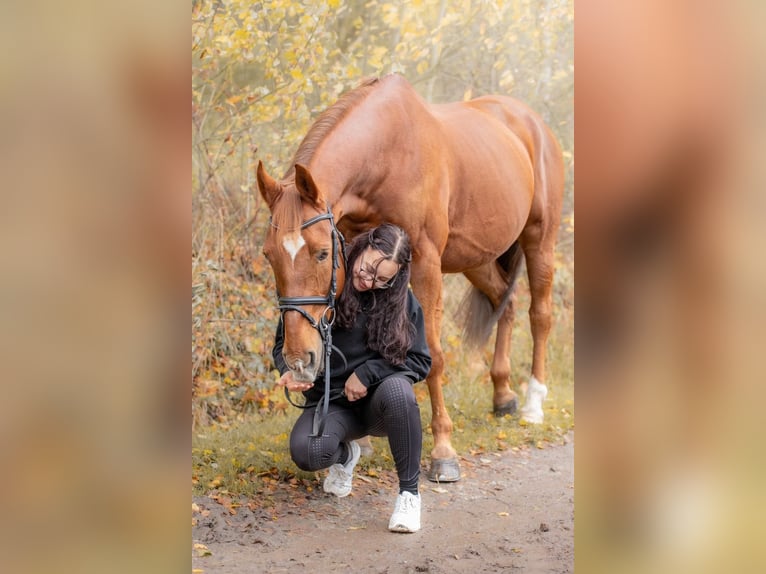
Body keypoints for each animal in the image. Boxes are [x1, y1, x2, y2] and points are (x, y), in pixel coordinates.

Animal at [257, 74, 564, 481]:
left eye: (322, 252)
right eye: (268, 254)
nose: (297, 360)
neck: (387, 155)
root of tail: (533, 122)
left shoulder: (426, 262)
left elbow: (434, 354)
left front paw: (443, 449)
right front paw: (363, 440)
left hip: (539, 238)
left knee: (540, 315)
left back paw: (533, 404)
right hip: (476, 257)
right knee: (506, 303)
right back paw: (503, 395)